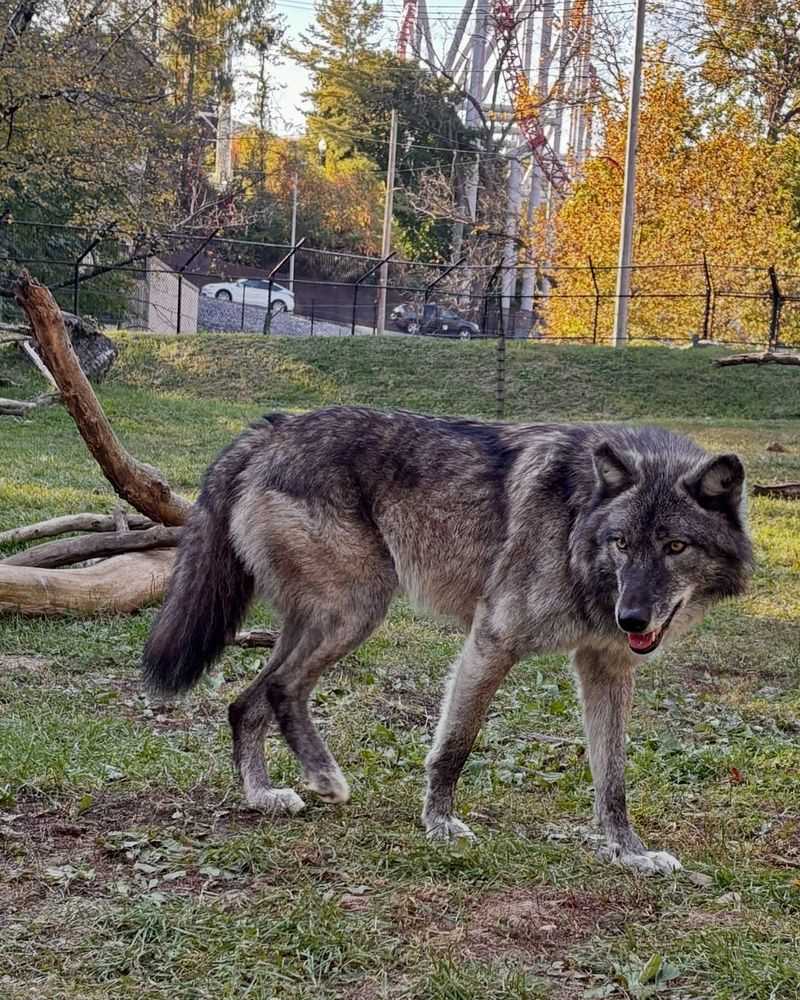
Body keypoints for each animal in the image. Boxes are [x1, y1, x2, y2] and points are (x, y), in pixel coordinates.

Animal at [143, 406, 752, 874]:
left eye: (675, 547)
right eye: (622, 543)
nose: (631, 619)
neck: (578, 524)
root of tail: (273, 426)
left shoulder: (604, 667)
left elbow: (613, 778)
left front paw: (630, 854)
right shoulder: (491, 641)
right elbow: (454, 747)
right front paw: (438, 823)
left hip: (324, 620)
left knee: (244, 702)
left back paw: (263, 795)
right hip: (357, 610)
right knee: (281, 689)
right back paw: (324, 778)